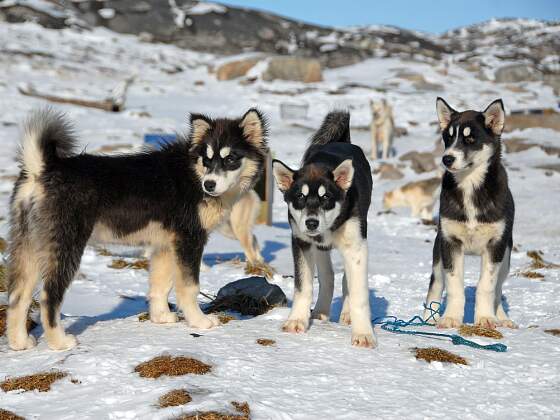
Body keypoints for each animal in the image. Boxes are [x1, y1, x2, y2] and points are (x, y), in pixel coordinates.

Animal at [6, 106, 270, 350]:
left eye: (230, 159)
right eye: (207, 159)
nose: (209, 184)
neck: (192, 172)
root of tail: (42, 169)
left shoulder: (165, 244)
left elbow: (160, 285)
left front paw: (161, 317)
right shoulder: (190, 239)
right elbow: (189, 287)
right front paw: (199, 321)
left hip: (29, 245)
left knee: (18, 296)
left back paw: (20, 342)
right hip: (66, 246)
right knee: (49, 297)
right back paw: (59, 342)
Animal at [272, 110, 376, 348]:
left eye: (326, 197)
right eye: (299, 196)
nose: (311, 223)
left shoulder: (356, 246)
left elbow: (358, 293)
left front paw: (363, 334)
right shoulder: (301, 242)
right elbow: (303, 286)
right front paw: (296, 320)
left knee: (346, 279)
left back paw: (346, 314)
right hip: (318, 247)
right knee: (328, 276)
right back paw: (320, 311)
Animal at [424, 97, 516, 328]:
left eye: (470, 138)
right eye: (448, 138)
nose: (447, 159)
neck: (470, 186)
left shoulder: (496, 245)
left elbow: (487, 286)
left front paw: (485, 318)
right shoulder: (450, 243)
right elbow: (454, 284)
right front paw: (450, 318)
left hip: (506, 257)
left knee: (498, 289)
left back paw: (502, 318)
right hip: (439, 251)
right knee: (436, 283)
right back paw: (429, 317)